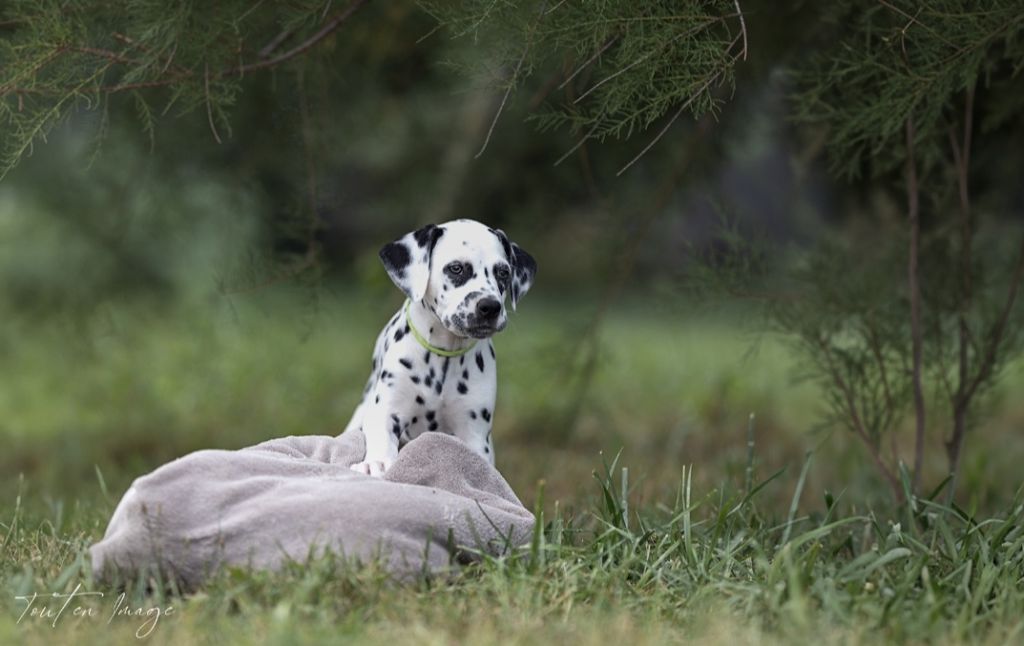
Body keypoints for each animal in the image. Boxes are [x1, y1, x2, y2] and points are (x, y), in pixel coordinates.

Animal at [344, 220, 536, 477]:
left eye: (503, 272)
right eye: (456, 268)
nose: (490, 307)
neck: (444, 356)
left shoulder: (474, 430)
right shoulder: (387, 410)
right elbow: (381, 437)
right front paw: (377, 463)